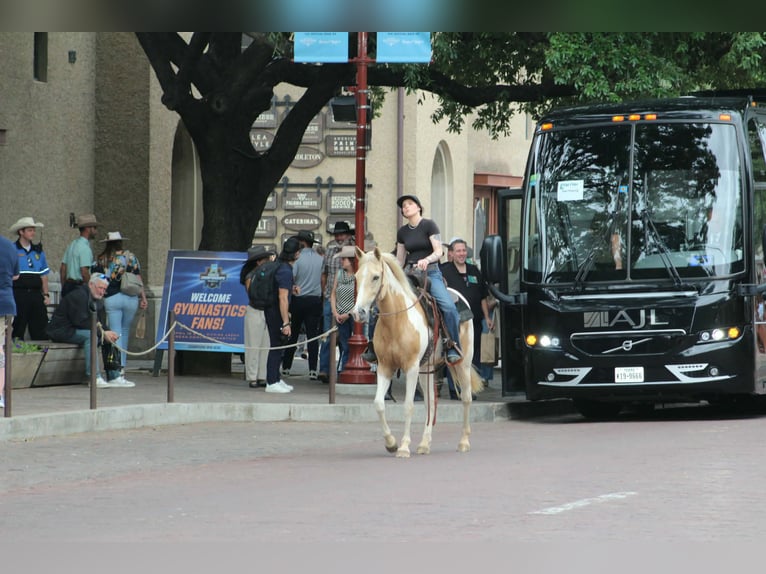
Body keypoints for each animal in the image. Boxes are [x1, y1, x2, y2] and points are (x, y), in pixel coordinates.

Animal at [351, 246, 484, 457]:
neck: (397, 320)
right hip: (426, 369)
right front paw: (391, 443)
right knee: (430, 402)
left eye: (375, 277)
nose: (358, 313)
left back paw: (463, 442)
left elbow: (408, 405)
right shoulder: (385, 367)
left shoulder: (411, 367)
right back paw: (424, 444)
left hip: (462, 363)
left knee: (466, 398)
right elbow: (379, 403)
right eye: (356, 277)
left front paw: (404, 447)